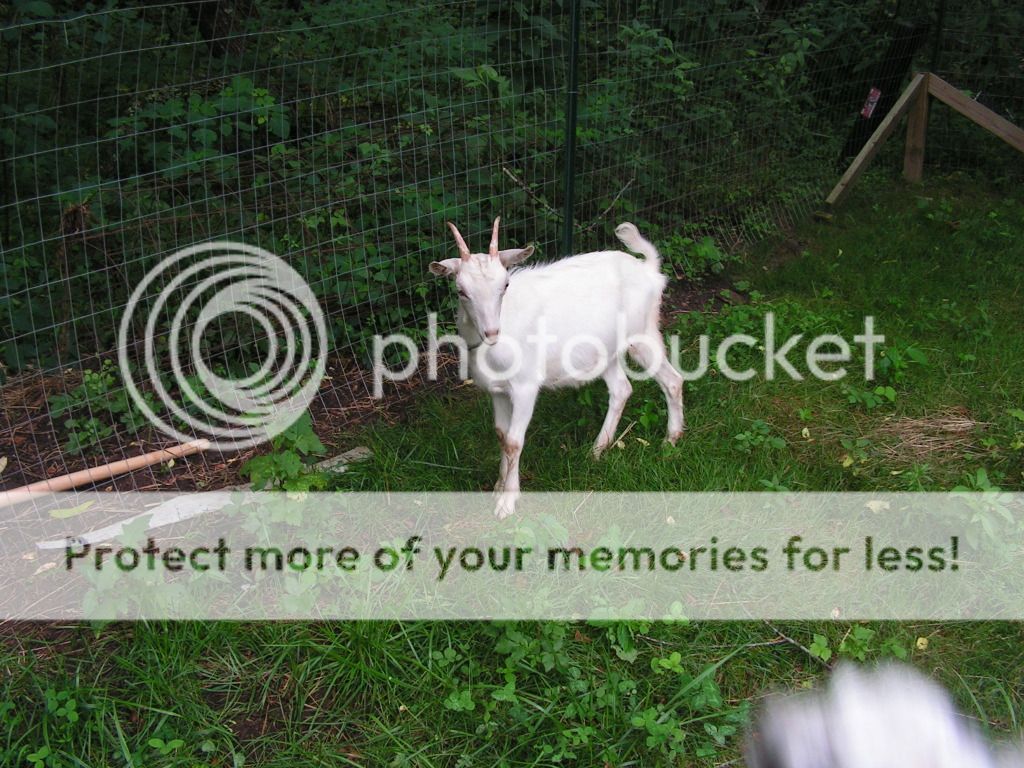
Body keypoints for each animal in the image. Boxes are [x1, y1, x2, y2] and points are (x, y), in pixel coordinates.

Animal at [429, 217, 684, 518]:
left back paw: (670, 442)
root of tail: (649, 270)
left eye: (505, 284)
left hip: (642, 334)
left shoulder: (525, 386)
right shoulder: (497, 390)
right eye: (461, 291)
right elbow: (502, 435)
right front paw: (498, 486)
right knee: (622, 389)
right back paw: (597, 450)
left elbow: (514, 441)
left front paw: (507, 502)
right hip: (604, 352)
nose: (492, 333)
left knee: (672, 380)